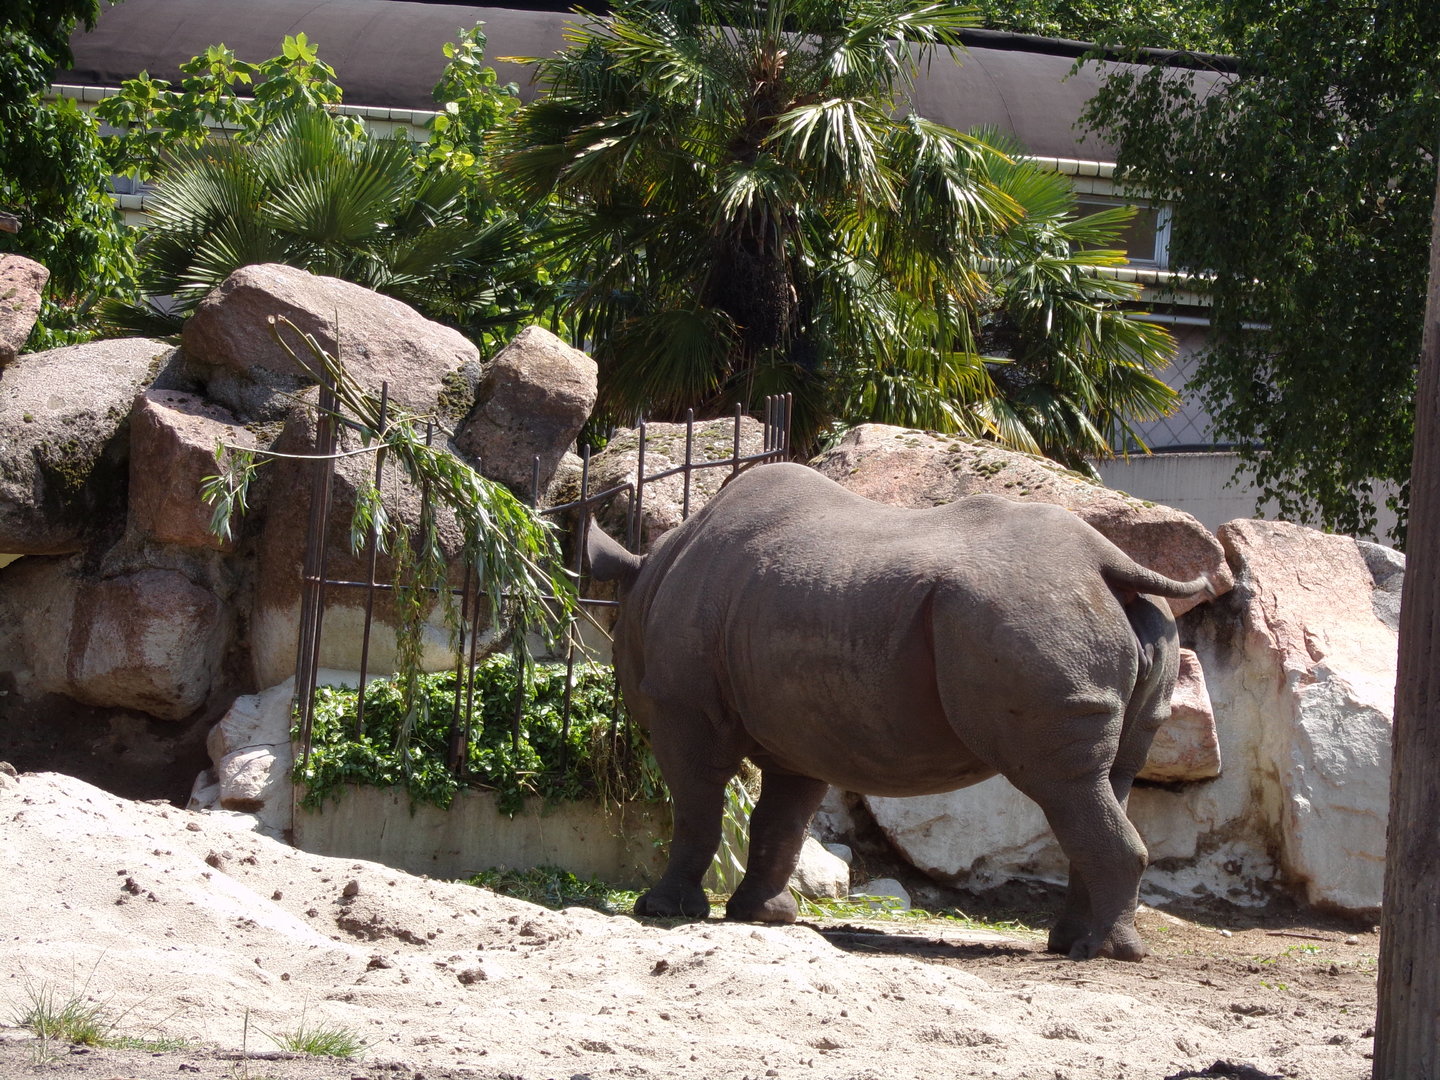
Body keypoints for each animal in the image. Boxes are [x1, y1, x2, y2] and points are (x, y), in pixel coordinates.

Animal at [586, 462, 1210, 960]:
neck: (650, 577)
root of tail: (1109, 562)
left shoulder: (683, 709)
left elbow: (696, 806)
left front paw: (662, 910)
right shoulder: (800, 731)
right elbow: (779, 821)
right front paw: (765, 918)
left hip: (1033, 616)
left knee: (1063, 784)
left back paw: (1098, 953)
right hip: (1104, 618)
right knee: (1105, 781)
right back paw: (1077, 944)